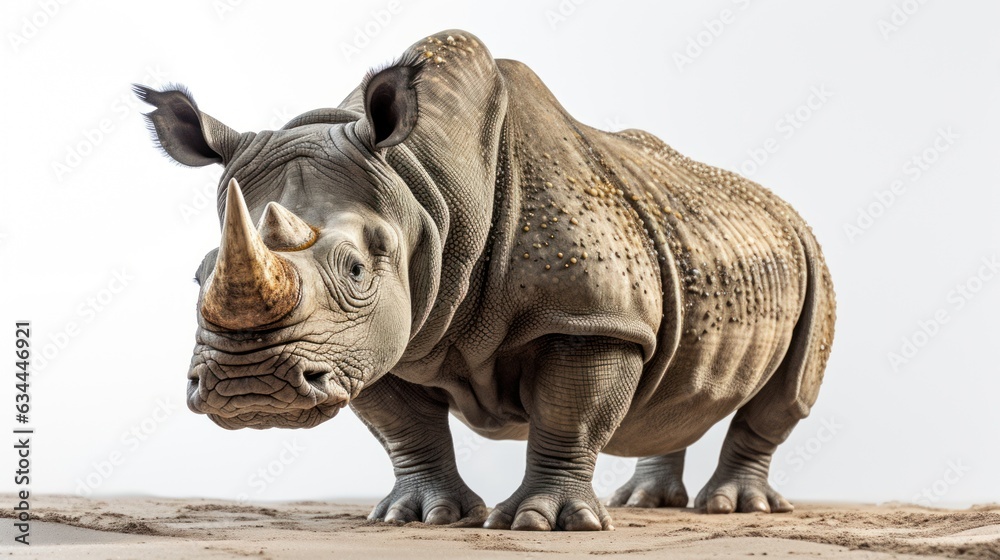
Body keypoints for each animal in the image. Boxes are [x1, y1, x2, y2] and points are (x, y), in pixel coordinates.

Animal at [136, 29, 835, 531]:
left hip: (811, 256)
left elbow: (568, 413)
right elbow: (404, 428)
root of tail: (782, 210)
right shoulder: (374, 341)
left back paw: (732, 507)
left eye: (356, 269)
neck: (424, 192)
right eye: (198, 275)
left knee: (787, 395)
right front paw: (419, 517)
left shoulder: (591, 319)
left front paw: (543, 523)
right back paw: (644, 503)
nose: (249, 387)